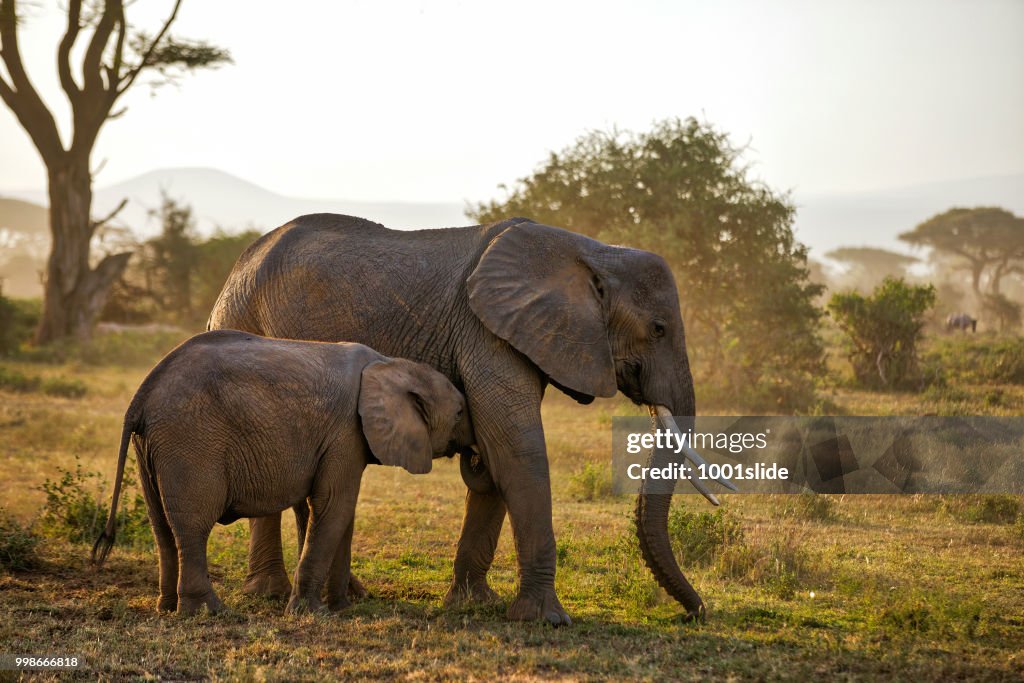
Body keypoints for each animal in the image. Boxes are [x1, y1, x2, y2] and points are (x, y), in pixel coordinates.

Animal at [92, 327, 471, 618]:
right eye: (459, 412)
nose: (476, 451)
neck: (391, 364)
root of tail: (141, 396)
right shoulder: (345, 432)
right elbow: (333, 504)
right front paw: (313, 613)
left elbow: (343, 511)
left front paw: (341, 608)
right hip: (189, 439)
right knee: (193, 525)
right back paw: (209, 612)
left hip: (151, 446)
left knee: (161, 526)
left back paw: (168, 608)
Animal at [211, 214, 733, 626]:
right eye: (658, 329)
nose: (696, 613)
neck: (593, 251)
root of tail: (237, 266)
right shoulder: (486, 332)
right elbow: (517, 449)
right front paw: (547, 620)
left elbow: (494, 461)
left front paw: (474, 604)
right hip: (244, 319)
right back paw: (272, 594)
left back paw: (343, 595)